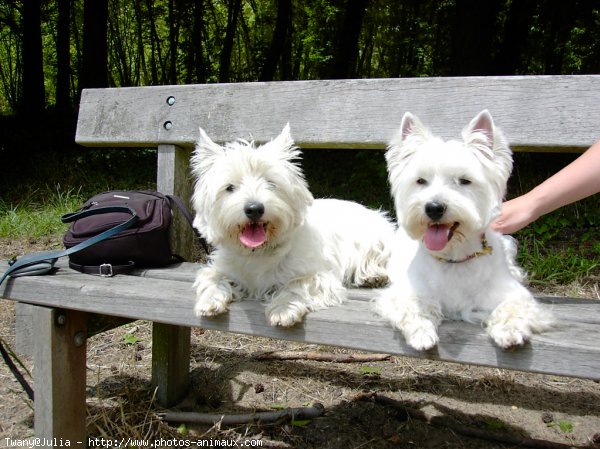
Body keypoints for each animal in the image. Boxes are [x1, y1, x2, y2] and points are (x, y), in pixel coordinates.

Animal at [189, 123, 394, 326]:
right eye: (230, 187)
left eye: (271, 184)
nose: (254, 209)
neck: (258, 253)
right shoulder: (223, 267)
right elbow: (211, 277)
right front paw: (209, 301)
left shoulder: (320, 275)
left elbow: (296, 283)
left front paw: (283, 310)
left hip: (374, 241)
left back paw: (372, 276)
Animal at [376, 109, 552, 350]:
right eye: (420, 181)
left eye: (464, 180)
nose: (433, 208)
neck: (453, 258)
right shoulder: (405, 291)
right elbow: (412, 306)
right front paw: (421, 333)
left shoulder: (513, 294)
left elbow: (512, 308)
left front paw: (509, 331)